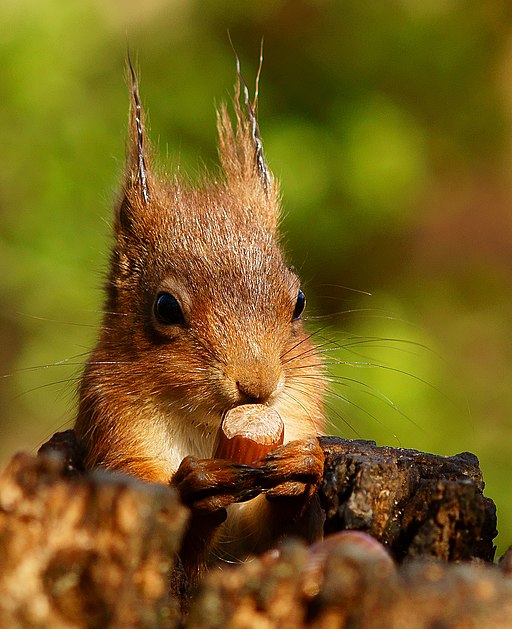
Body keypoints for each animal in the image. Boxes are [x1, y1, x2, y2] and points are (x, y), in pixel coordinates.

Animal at [73, 57, 326, 580]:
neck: (208, 428)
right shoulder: (114, 433)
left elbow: (281, 539)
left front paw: (304, 466)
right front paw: (201, 489)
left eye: (299, 301)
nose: (257, 386)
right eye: (165, 307)